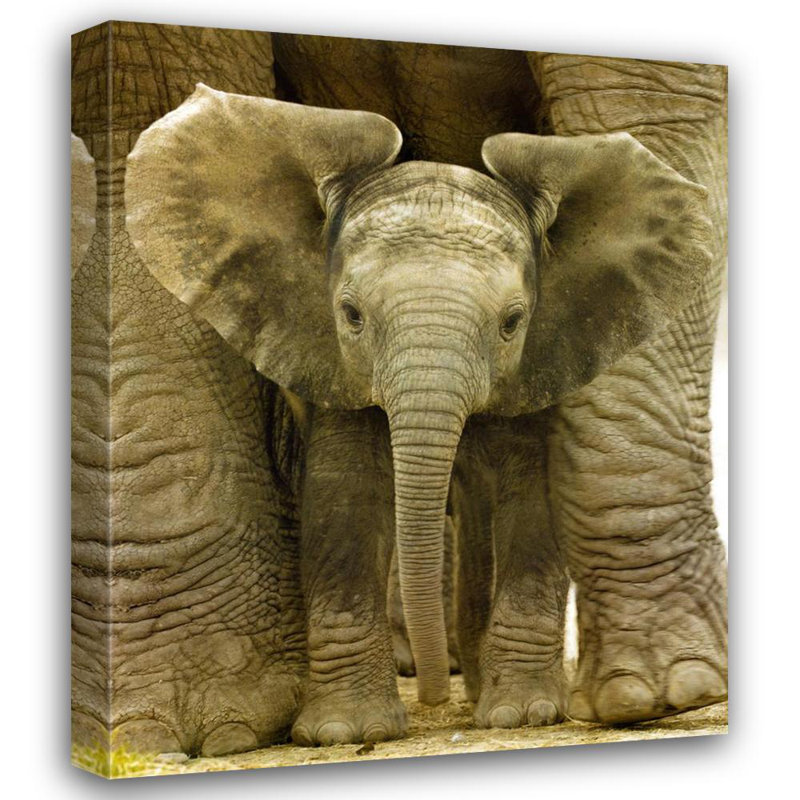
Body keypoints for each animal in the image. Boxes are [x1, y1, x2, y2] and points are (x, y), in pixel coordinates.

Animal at [72, 21, 727, 757]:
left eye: (513, 322)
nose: (438, 706)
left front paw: (587, 706)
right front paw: (326, 730)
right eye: (351, 314)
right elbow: (345, 492)